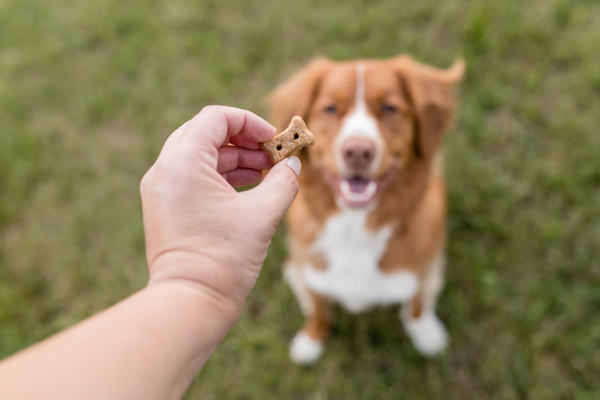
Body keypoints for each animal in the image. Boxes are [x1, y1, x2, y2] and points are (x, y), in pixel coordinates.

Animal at [268, 54, 464, 364]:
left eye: (389, 108)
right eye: (330, 109)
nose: (358, 152)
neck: (355, 225)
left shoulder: (424, 267)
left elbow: (418, 303)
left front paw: (425, 334)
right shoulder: (310, 271)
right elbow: (319, 307)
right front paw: (312, 338)